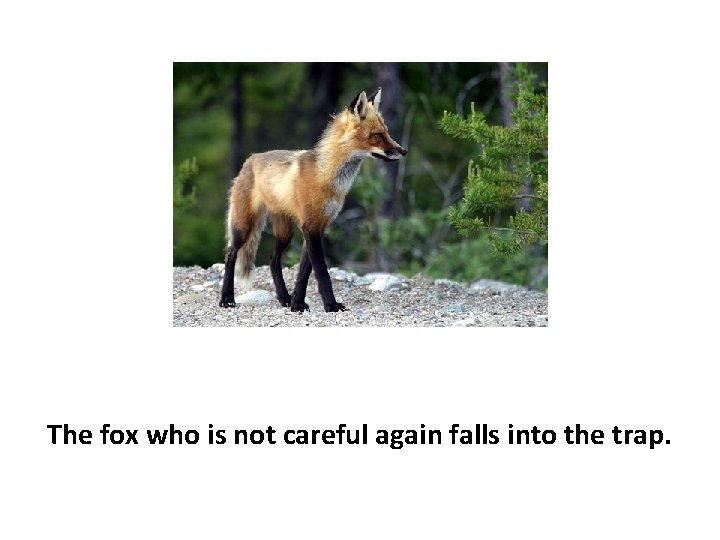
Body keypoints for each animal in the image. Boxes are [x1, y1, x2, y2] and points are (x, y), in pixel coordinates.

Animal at [219, 87, 407, 312]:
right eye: (377, 136)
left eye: (387, 133)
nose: (404, 151)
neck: (327, 178)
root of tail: (249, 159)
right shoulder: (310, 225)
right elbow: (322, 273)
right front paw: (330, 305)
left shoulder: (320, 224)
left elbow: (304, 272)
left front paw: (297, 303)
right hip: (244, 225)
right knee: (231, 253)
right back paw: (227, 298)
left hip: (285, 232)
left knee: (273, 260)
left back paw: (283, 298)